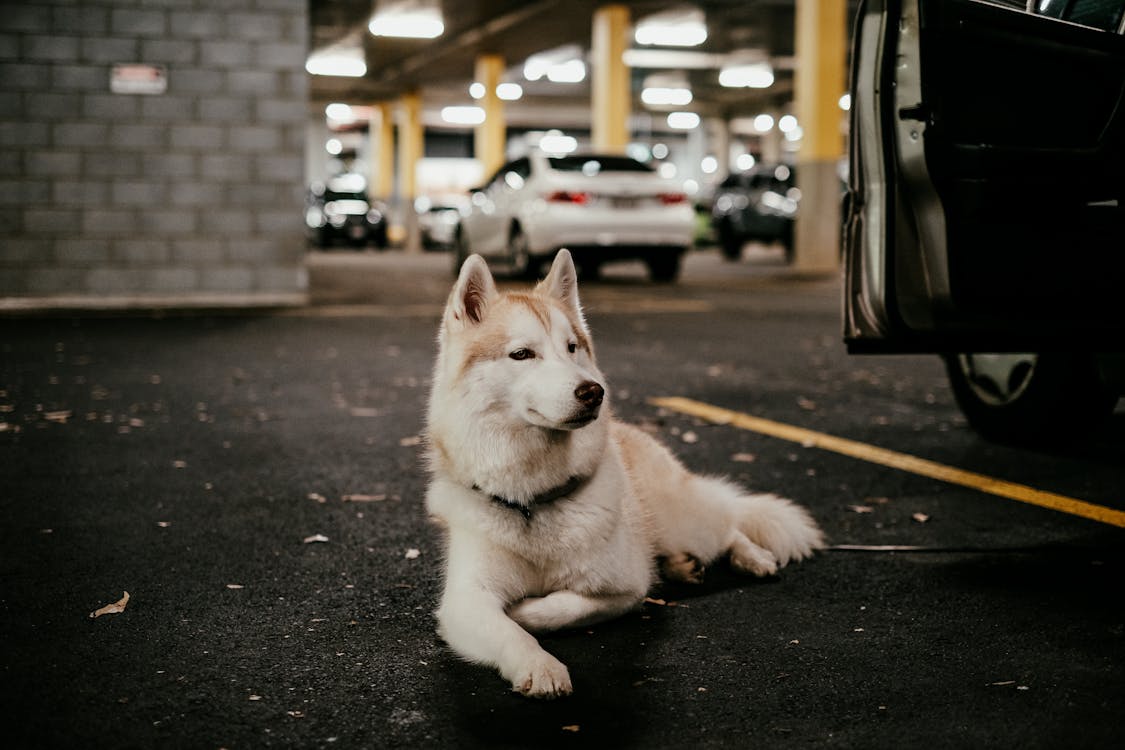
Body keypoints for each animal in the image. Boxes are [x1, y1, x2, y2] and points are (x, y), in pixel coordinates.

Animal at [425, 247, 823, 697]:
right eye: (522, 354)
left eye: (572, 348)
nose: (593, 392)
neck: (534, 501)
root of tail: (631, 430)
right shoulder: (465, 600)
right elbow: (507, 631)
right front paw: (538, 664)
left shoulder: (626, 587)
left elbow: (560, 606)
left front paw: (526, 613)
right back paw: (682, 566)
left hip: (682, 519)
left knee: (728, 522)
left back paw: (751, 556)